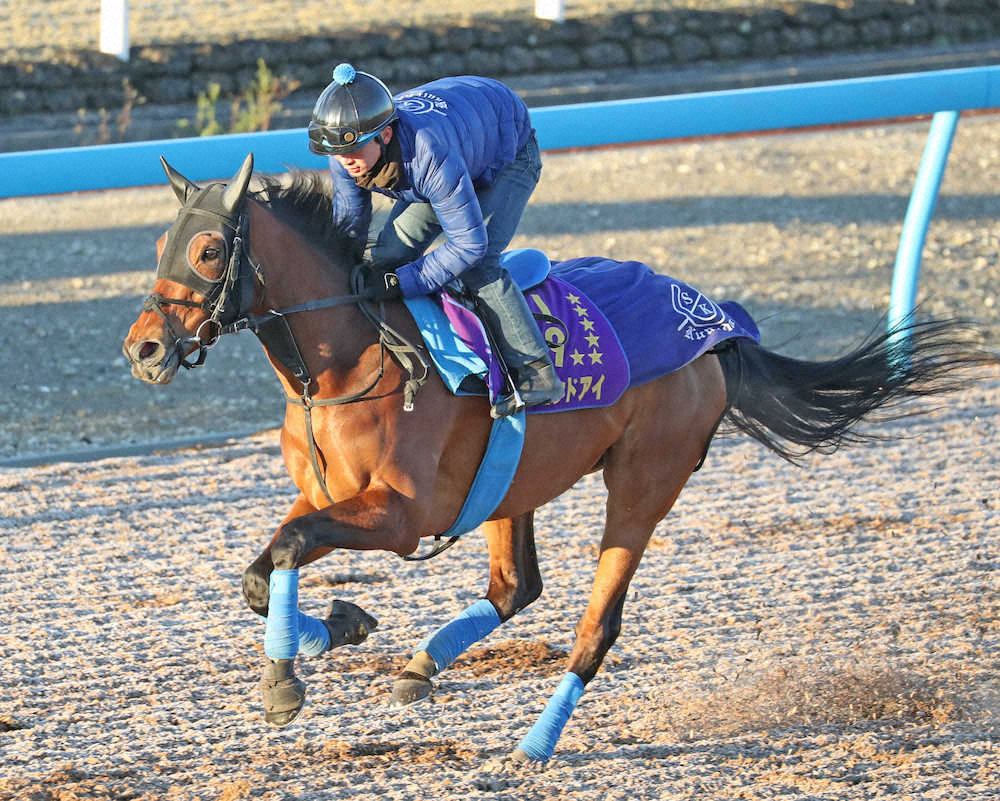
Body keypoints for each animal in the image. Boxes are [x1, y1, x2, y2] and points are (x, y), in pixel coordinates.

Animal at [122, 153, 990, 765]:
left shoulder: (403, 514)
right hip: (513, 485)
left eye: (208, 248)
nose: (144, 348)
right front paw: (333, 627)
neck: (355, 356)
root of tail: (714, 322)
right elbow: (265, 564)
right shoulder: (329, 494)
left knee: (595, 625)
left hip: (643, 483)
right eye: (159, 243)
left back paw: (536, 741)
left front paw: (292, 669)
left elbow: (289, 548)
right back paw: (419, 668)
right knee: (516, 587)